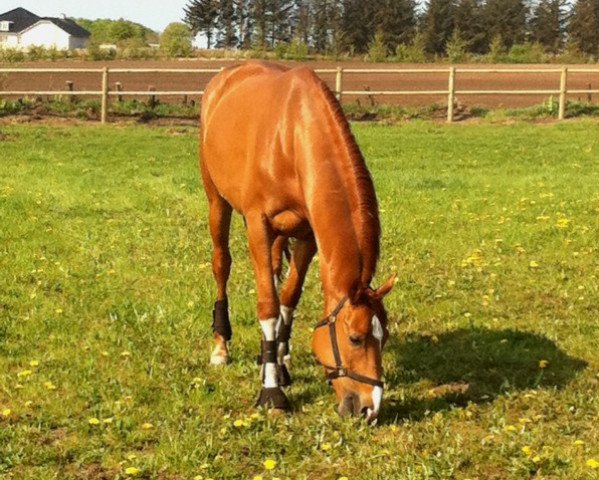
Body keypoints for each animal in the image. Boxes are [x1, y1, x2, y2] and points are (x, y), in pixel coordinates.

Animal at [200, 62, 394, 422]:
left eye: (385, 336)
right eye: (355, 338)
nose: (369, 409)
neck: (291, 136)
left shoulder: (307, 235)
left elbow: (288, 298)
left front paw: (279, 364)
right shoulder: (259, 225)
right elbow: (268, 305)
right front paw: (271, 392)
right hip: (217, 201)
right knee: (222, 264)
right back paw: (221, 346)